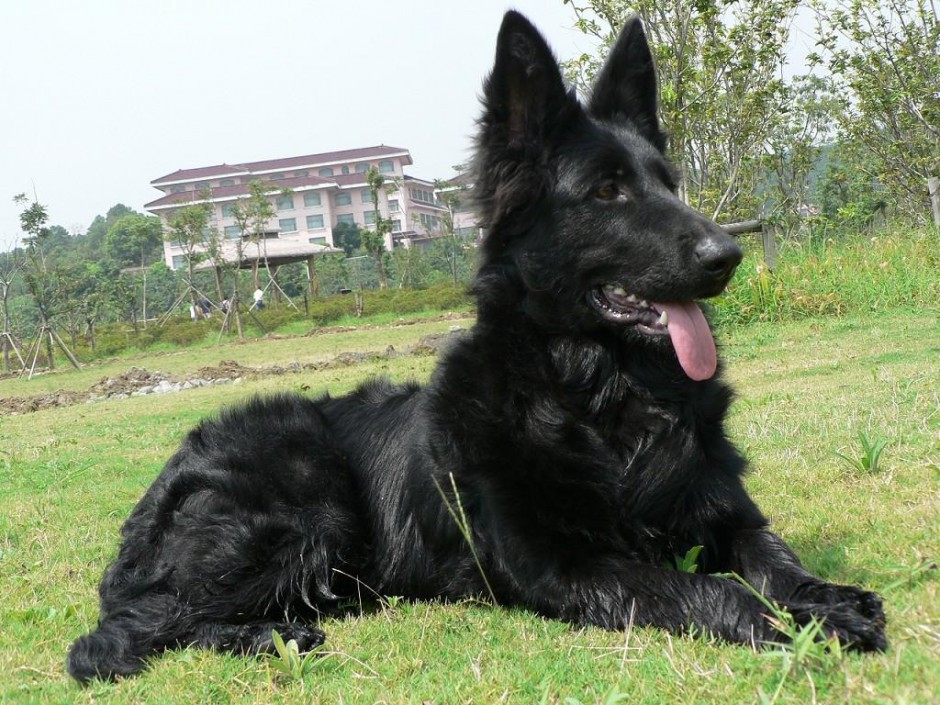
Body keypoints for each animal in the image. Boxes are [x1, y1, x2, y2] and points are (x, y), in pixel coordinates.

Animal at [70, 12, 884, 680]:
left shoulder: (727, 516)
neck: (603, 397)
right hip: (305, 493)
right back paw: (268, 636)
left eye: (669, 183)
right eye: (607, 191)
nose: (728, 255)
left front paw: (828, 597)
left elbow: (774, 557)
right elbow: (702, 587)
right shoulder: (567, 564)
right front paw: (795, 623)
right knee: (138, 628)